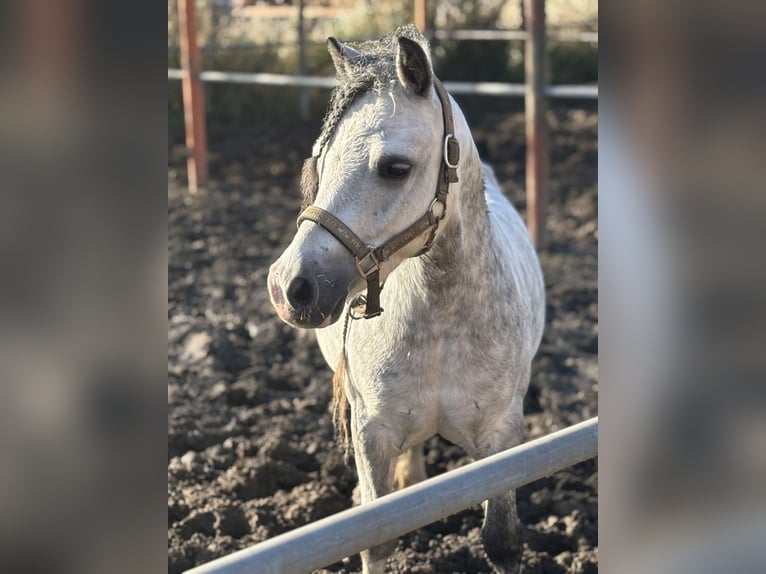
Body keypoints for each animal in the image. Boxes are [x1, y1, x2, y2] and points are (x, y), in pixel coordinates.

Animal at [267, 25, 545, 574]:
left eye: (395, 168)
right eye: (320, 163)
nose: (290, 287)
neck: (443, 322)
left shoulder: (502, 437)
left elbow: (502, 539)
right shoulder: (371, 434)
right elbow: (377, 538)